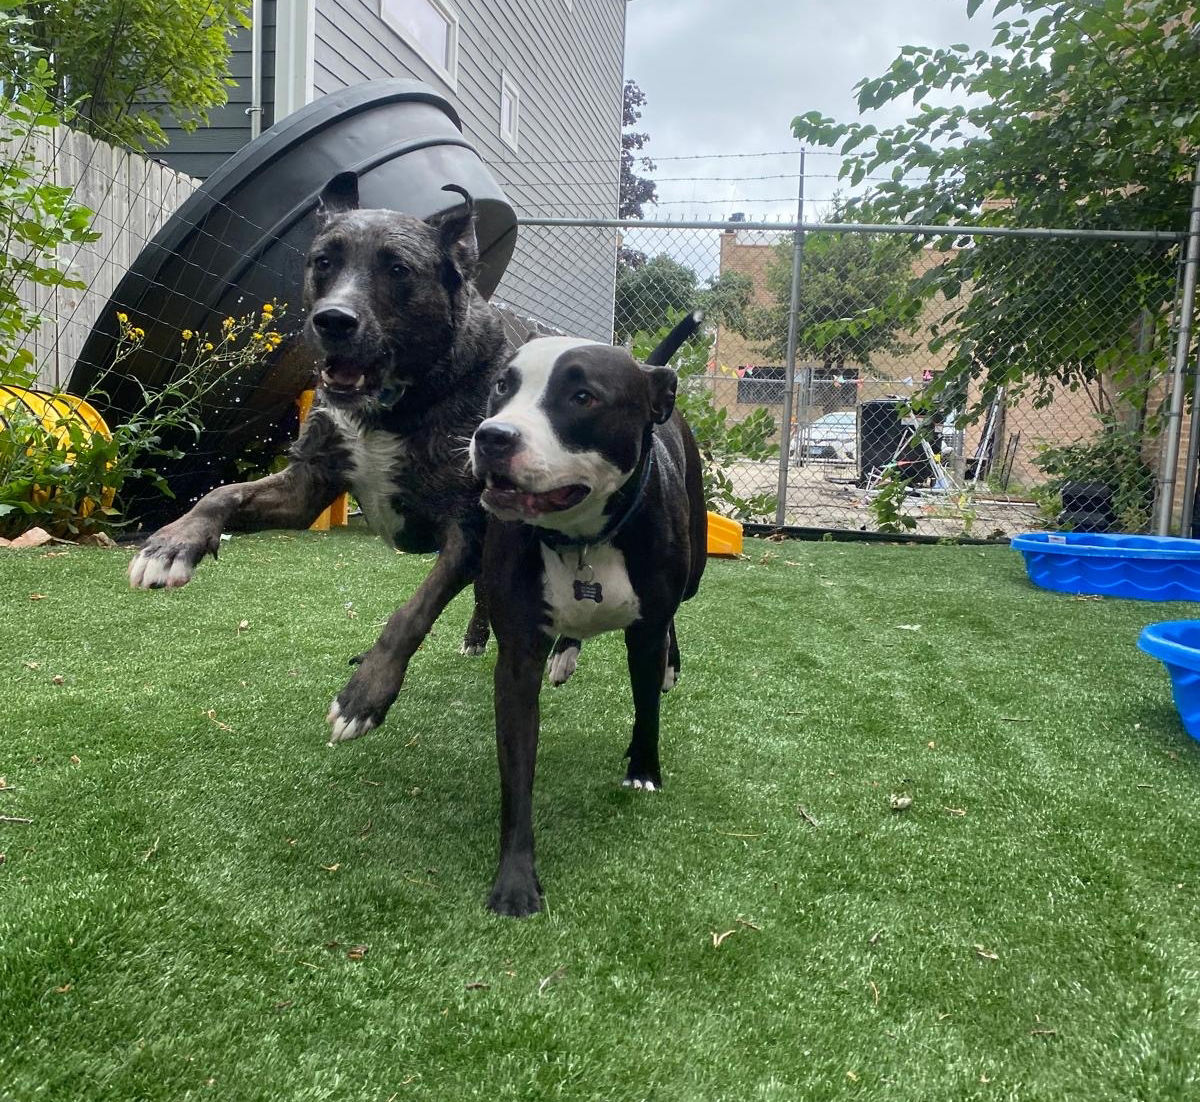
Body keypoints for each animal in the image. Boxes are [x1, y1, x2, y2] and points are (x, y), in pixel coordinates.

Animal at [125, 170, 506, 744]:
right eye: (323, 261)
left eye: (398, 269)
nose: (333, 320)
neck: (393, 404)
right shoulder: (306, 485)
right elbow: (222, 493)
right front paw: (171, 543)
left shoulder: (465, 528)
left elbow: (412, 611)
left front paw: (366, 694)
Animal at [470, 312, 710, 921]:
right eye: (501, 388)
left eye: (583, 397)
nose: (492, 436)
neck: (581, 537)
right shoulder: (517, 660)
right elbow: (517, 774)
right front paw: (515, 879)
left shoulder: (645, 634)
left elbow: (646, 708)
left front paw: (643, 771)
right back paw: (566, 653)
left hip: (693, 573)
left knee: (676, 619)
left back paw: (670, 667)